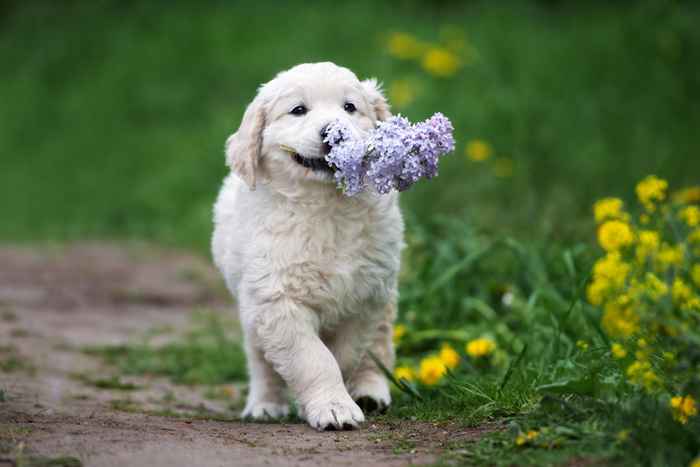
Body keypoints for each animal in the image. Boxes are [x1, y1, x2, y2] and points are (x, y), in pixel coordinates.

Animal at [211, 61, 402, 432]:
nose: (334, 133)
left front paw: (335, 400)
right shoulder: (276, 300)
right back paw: (264, 405)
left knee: (379, 348)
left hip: (385, 297)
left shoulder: (365, 297)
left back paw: (370, 392)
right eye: (298, 110)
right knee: (260, 361)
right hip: (250, 309)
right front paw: (332, 407)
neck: (325, 206)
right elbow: (313, 358)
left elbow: (344, 355)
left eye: (349, 107)